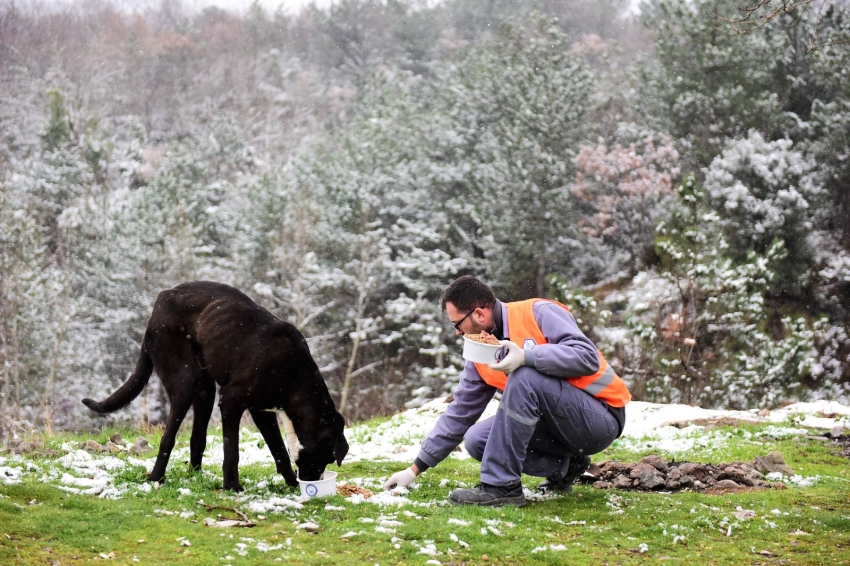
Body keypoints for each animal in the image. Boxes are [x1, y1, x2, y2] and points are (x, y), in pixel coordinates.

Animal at [79, 282, 344, 492]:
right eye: (326, 456)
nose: (312, 482)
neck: (292, 373)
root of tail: (160, 300)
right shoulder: (232, 401)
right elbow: (232, 450)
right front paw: (232, 487)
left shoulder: (261, 411)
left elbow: (279, 450)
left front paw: (290, 483)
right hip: (184, 383)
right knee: (167, 439)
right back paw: (156, 478)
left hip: (204, 389)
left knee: (197, 438)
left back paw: (195, 476)